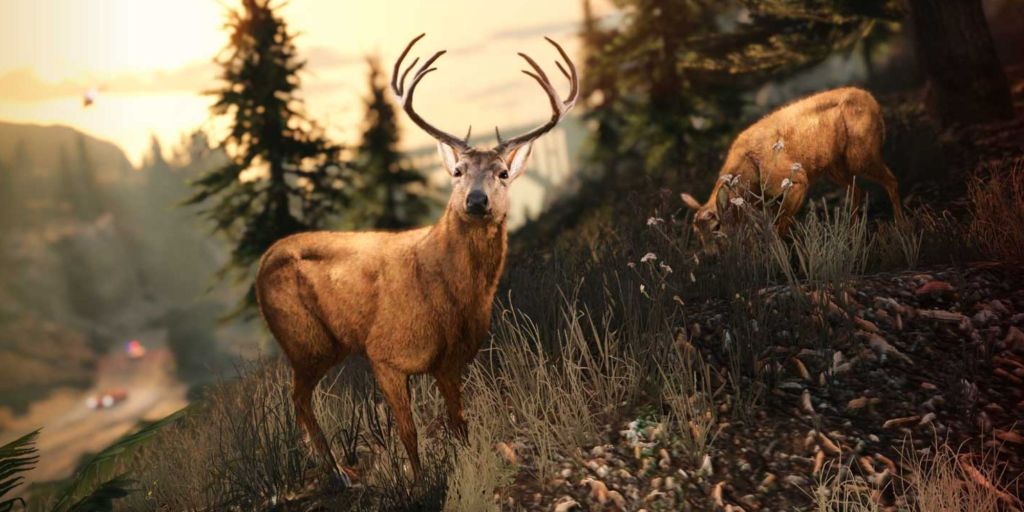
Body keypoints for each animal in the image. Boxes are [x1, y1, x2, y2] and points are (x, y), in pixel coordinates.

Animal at [254, 33, 578, 483]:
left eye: (502, 173)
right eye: (458, 172)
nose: (476, 201)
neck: (451, 293)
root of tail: (263, 260)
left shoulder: (452, 361)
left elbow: (459, 424)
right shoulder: (385, 352)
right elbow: (408, 432)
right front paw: (421, 483)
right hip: (305, 340)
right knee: (299, 399)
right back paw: (340, 474)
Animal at [681, 87, 902, 249]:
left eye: (716, 226)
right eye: (697, 233)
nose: (710, 257)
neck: (747, 177)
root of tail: (874, 102)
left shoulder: (796, 180)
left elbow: (779, 227)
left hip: (859, 155)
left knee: (891, 180)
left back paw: (901, 226)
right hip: (834, 166)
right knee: (858, 190)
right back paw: (852, 233)